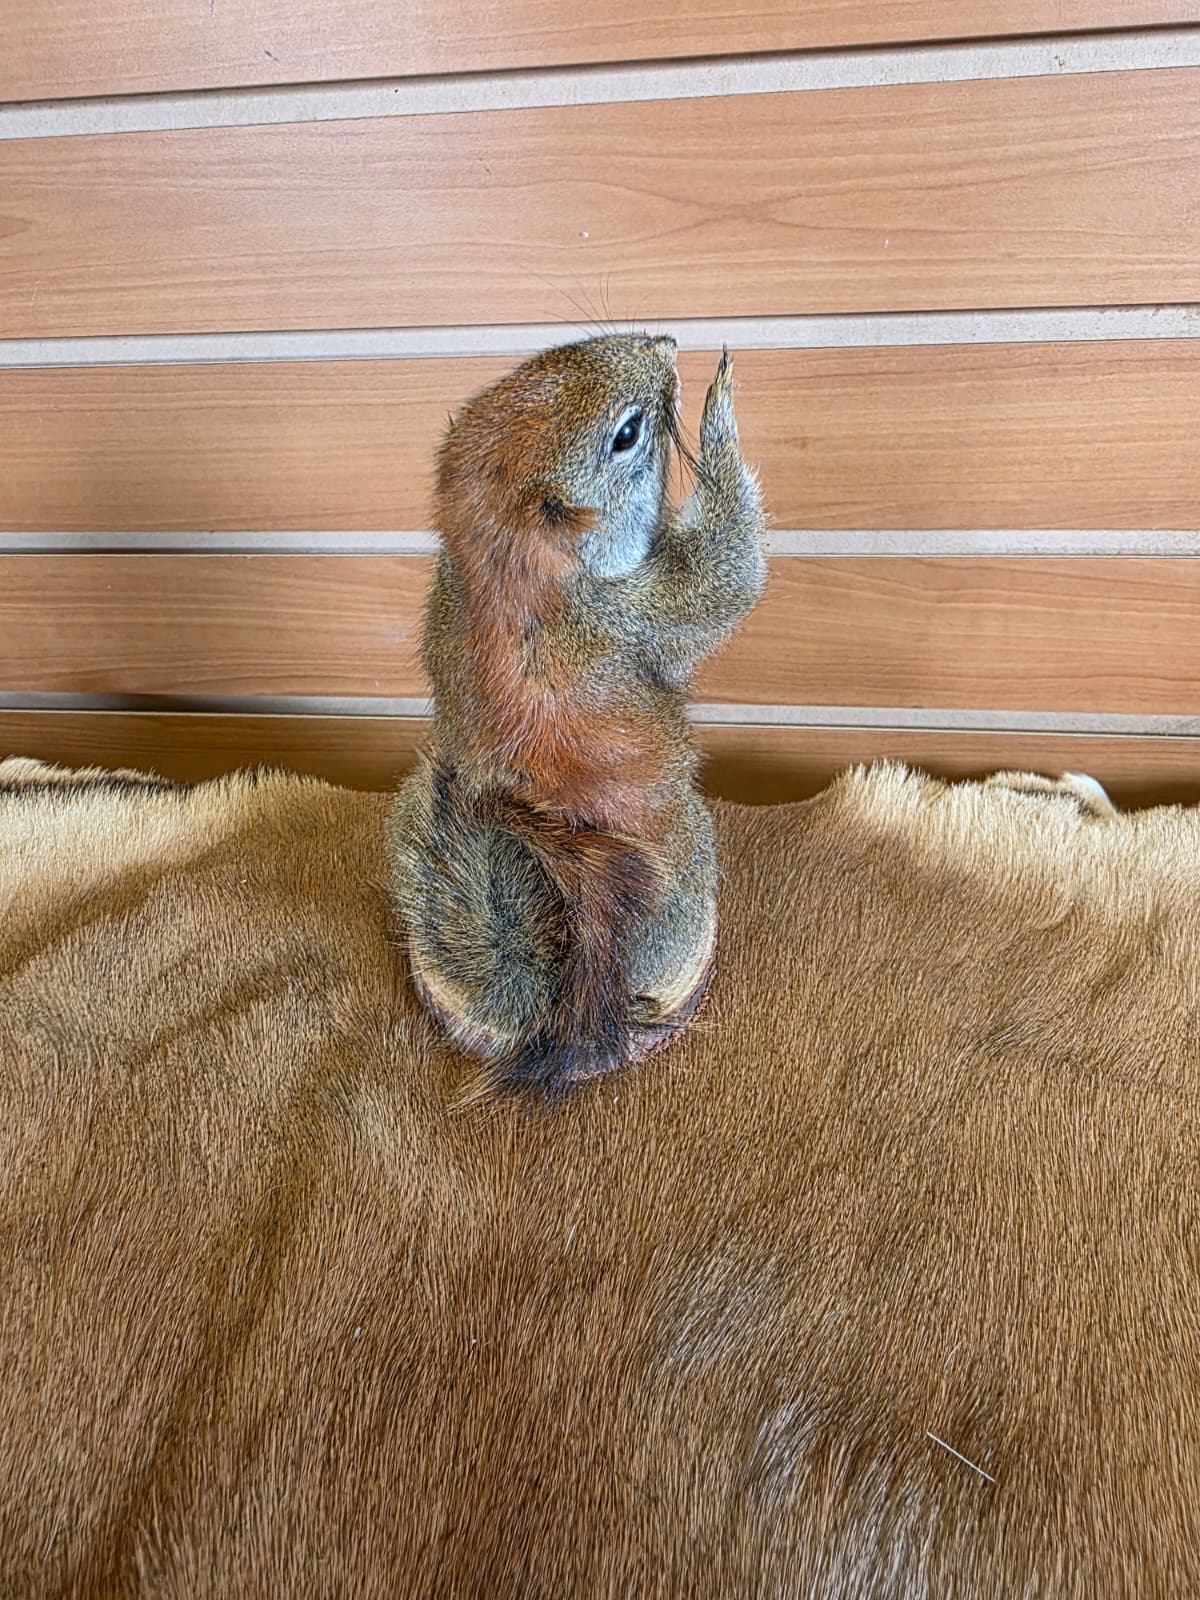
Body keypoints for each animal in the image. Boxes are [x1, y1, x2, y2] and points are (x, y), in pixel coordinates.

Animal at [389, 333, 766, 1095]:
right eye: (626, 435)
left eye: (549, 355)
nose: (666, 343)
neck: (504, 573)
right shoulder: (633, 614)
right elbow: (724, 570)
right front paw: (719, 414)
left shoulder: (447, 594)